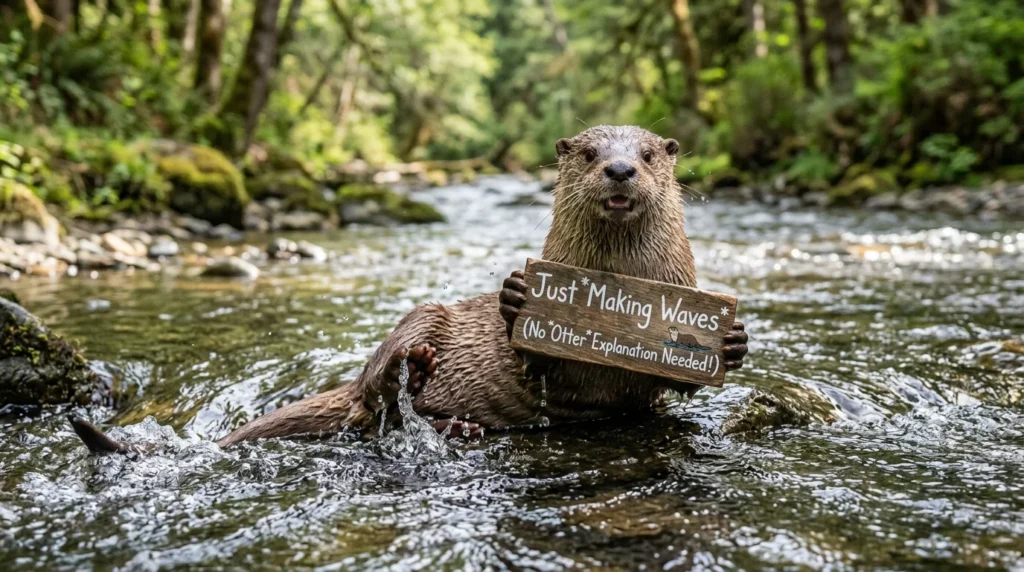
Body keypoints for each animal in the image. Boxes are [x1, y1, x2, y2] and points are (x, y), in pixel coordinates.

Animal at [71, 126, 748, 453]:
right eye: (587, 153)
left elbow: (675, 385)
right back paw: (417, 376)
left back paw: (457, 426)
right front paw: (514, 297)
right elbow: (531, 357)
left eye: (649, 154)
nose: (620, 167)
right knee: (378, 394)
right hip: (421, 316)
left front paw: (733, 341)